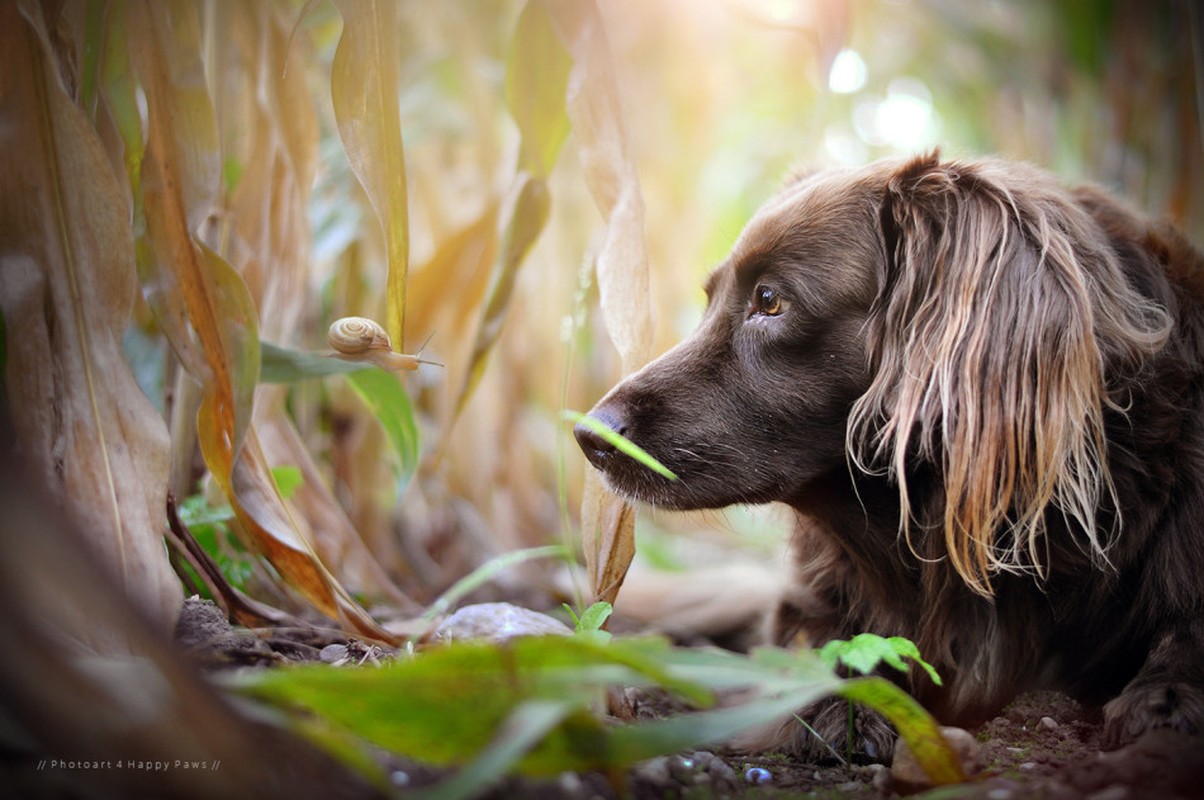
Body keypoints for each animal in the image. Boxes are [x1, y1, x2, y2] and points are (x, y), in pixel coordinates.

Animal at [573, 153, 1204, 761]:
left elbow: (1184, 633)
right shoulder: (811, 598)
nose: (589, 435)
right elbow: (825, 645)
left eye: (769, 300)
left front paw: (1170, 696)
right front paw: (840, 703)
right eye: (710, 301)